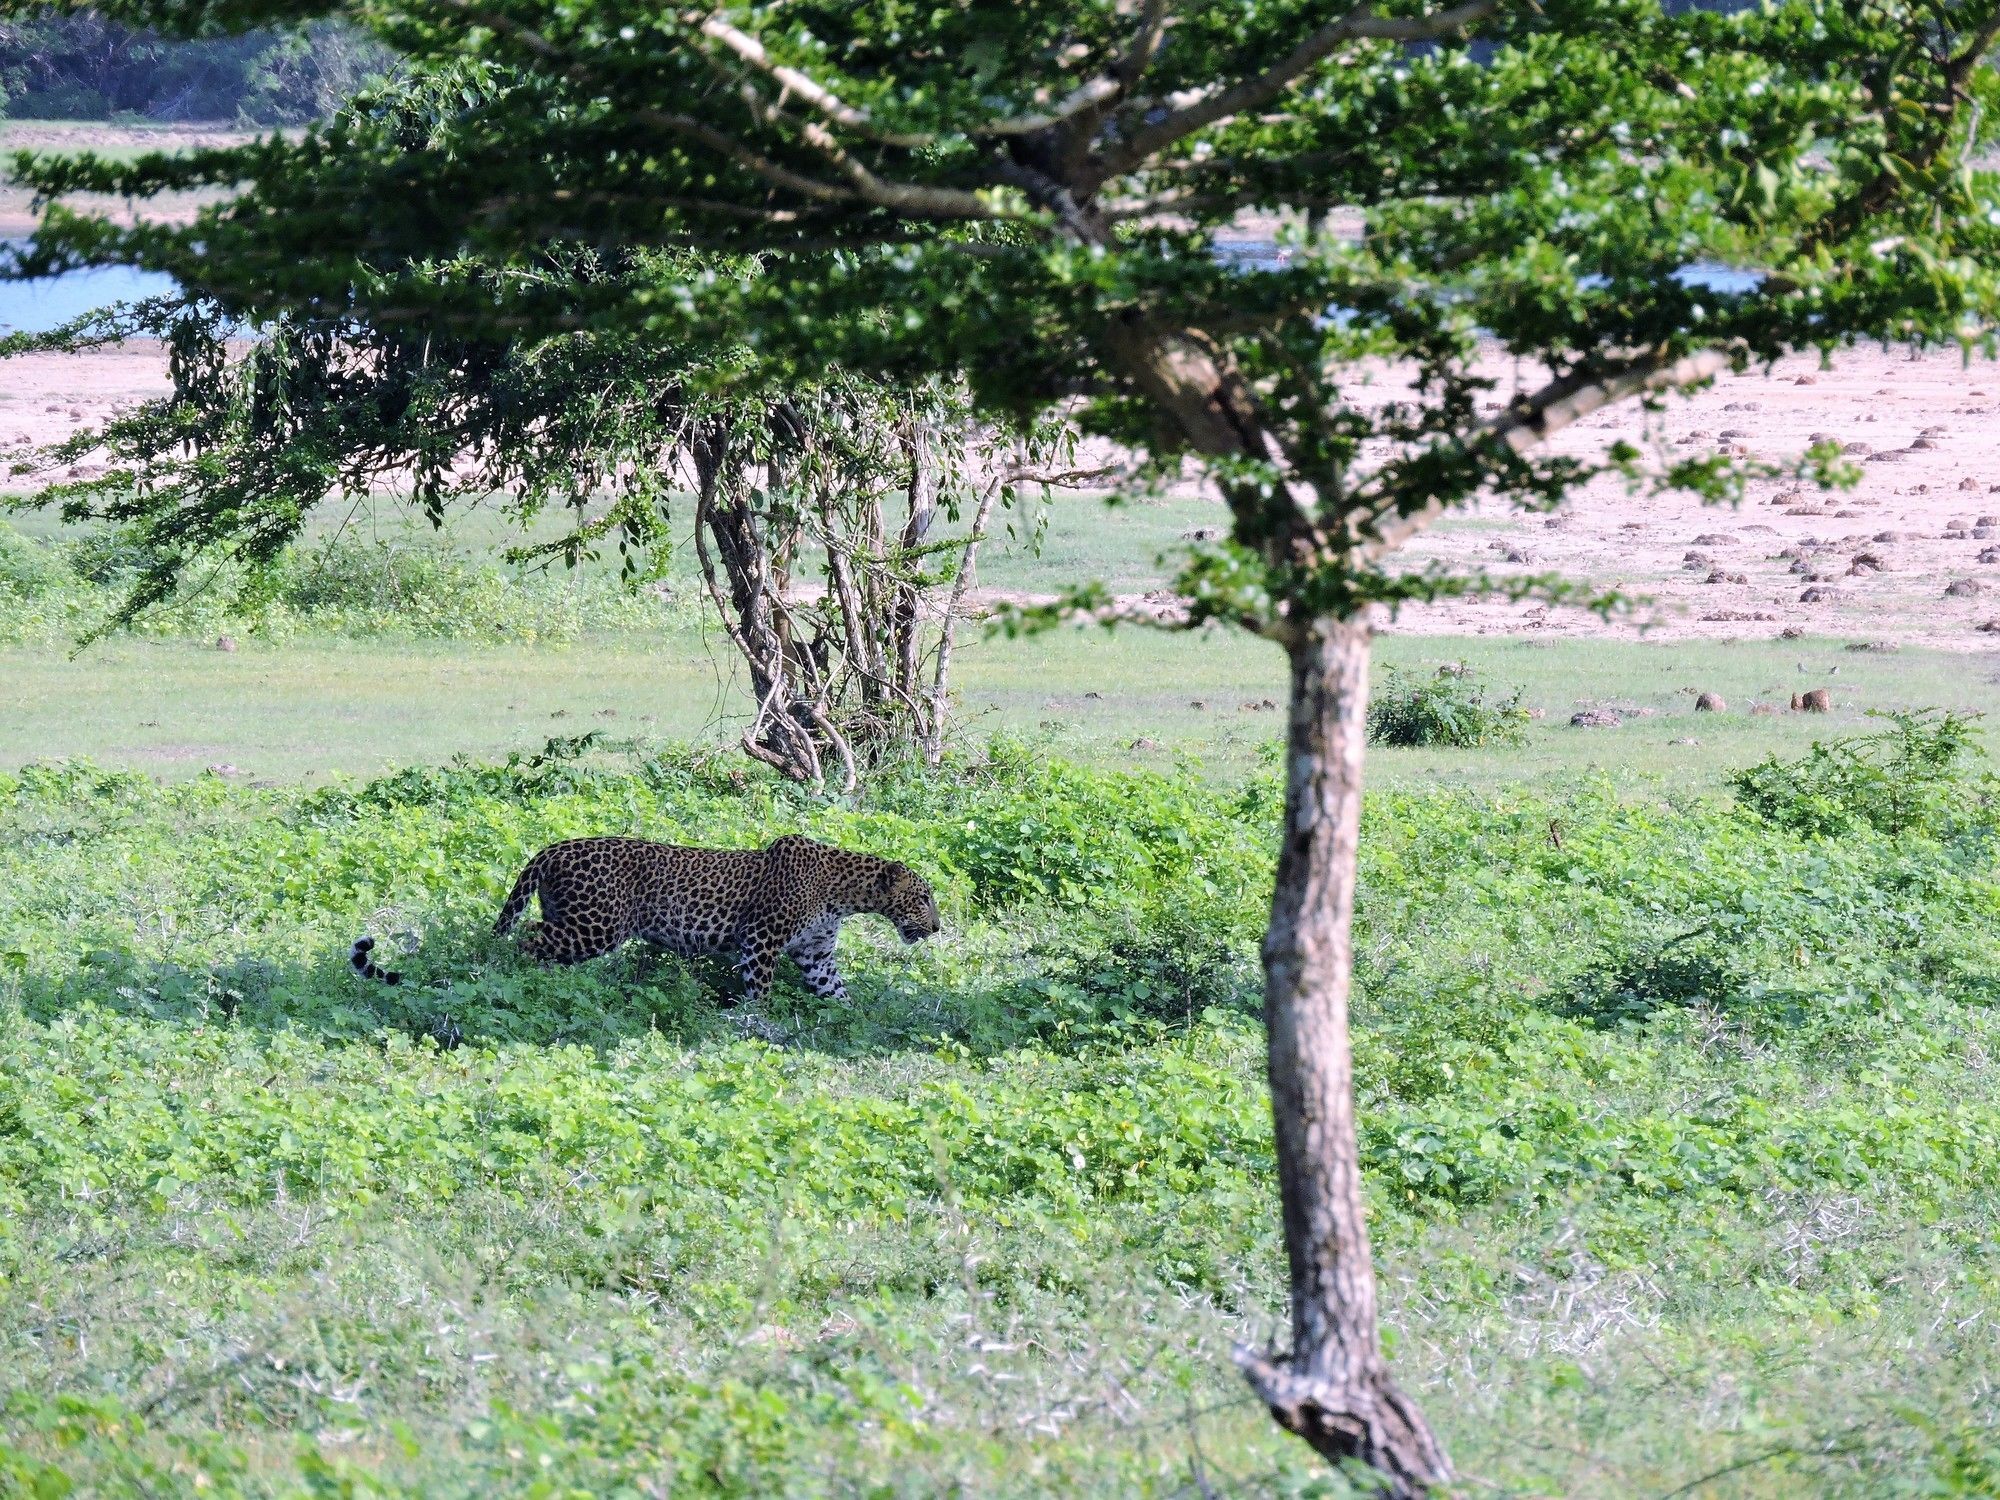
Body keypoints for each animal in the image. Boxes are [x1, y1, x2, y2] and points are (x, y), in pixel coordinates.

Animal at [348, 836, 940, 1012]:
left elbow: (837, 992)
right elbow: (760, 991)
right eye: (923, 897)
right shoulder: (761, 941)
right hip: (594, 925)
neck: (844, 894)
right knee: (524, 941)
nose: (936, 927)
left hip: (572, 919)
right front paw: (757, 1027)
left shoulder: (814, 954)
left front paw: (855, 1020)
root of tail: (553, 846)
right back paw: (519, 983)